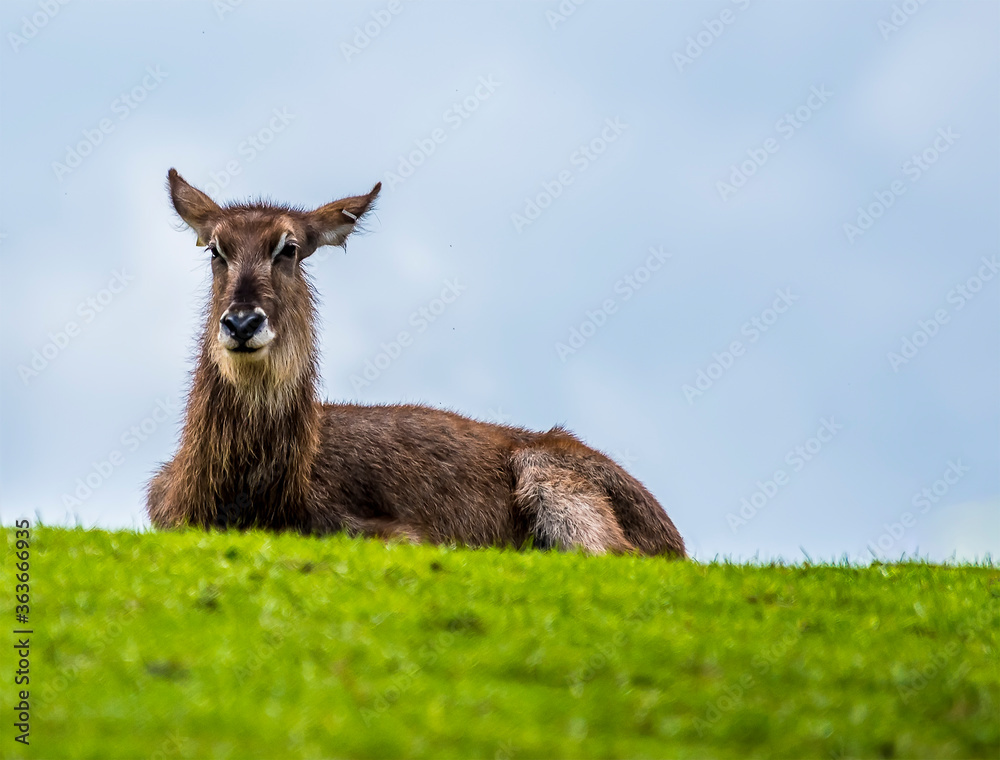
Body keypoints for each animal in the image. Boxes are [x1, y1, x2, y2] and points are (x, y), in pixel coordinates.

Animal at [147, 169, 686, 557]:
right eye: (216, 250)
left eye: (290, 248)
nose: (242, 323)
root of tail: (673, 535)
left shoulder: (398, 531)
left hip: (548, 473)